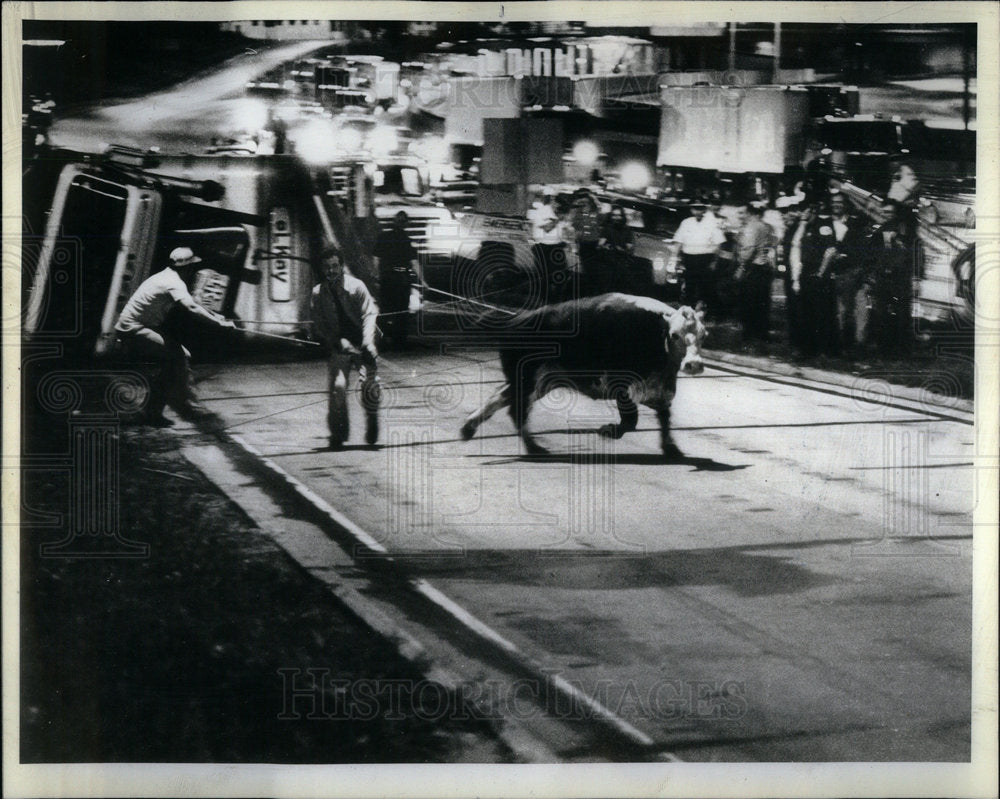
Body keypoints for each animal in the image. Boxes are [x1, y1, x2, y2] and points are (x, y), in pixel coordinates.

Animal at [458, 292, 704, 456]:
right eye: (674, 335)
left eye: (703, 335)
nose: (694, 364)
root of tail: (517, 318)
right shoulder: (619, 383)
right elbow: (631, 419)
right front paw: (608, 431)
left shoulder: (660, 392)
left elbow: (664, 417)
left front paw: (671, 448)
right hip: (527, 379)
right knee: (516, 410)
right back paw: (534, 448)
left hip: (539, 381)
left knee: (499, 398)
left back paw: (468, 428)